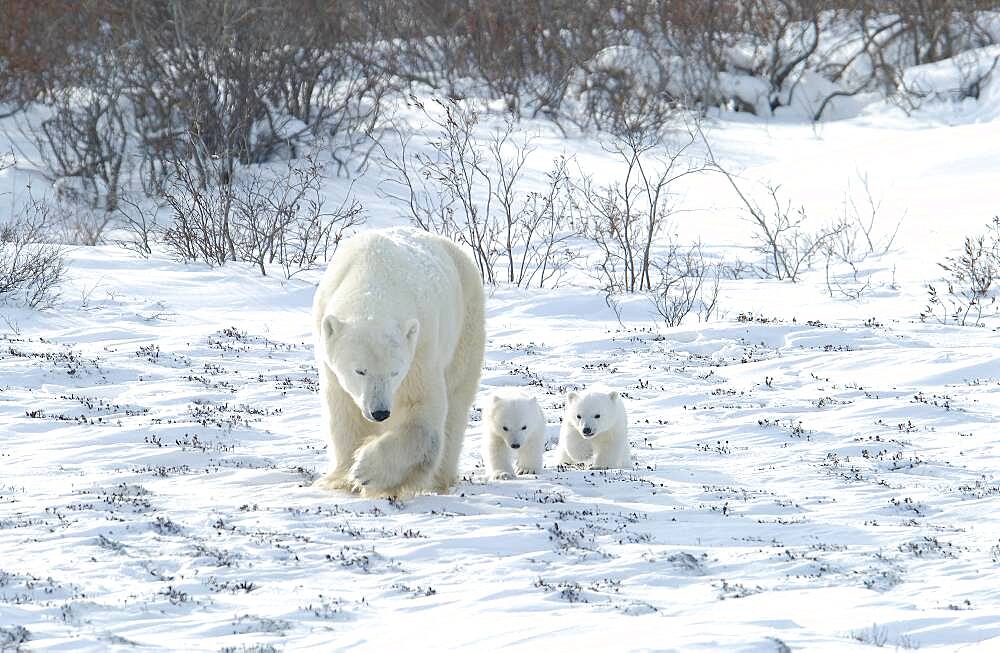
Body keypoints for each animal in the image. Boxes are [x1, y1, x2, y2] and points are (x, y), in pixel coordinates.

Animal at [312, 227, 484, 496]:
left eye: (395, 372)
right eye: (359, 371)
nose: (380, 412)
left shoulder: (420, 348)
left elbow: (420, 412)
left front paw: (367, 471)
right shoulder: (328, 357)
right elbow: (344, 411)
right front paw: (340, 478)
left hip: (466, 321)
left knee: (456, 399)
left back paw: (440, 479)